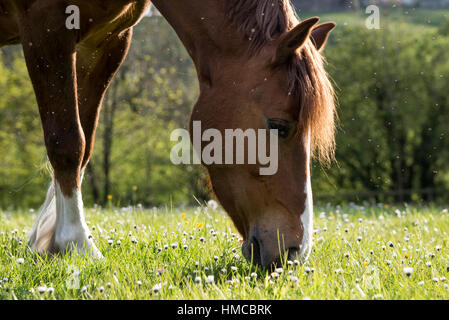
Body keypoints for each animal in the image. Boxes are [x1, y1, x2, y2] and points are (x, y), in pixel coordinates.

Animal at [0, 0, 334, 268]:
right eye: (279, 125)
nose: (295, 252)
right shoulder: (47, 29)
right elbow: (68, 143)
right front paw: (75, 242)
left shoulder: (106, 42)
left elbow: (85, 144)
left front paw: (47, 239)